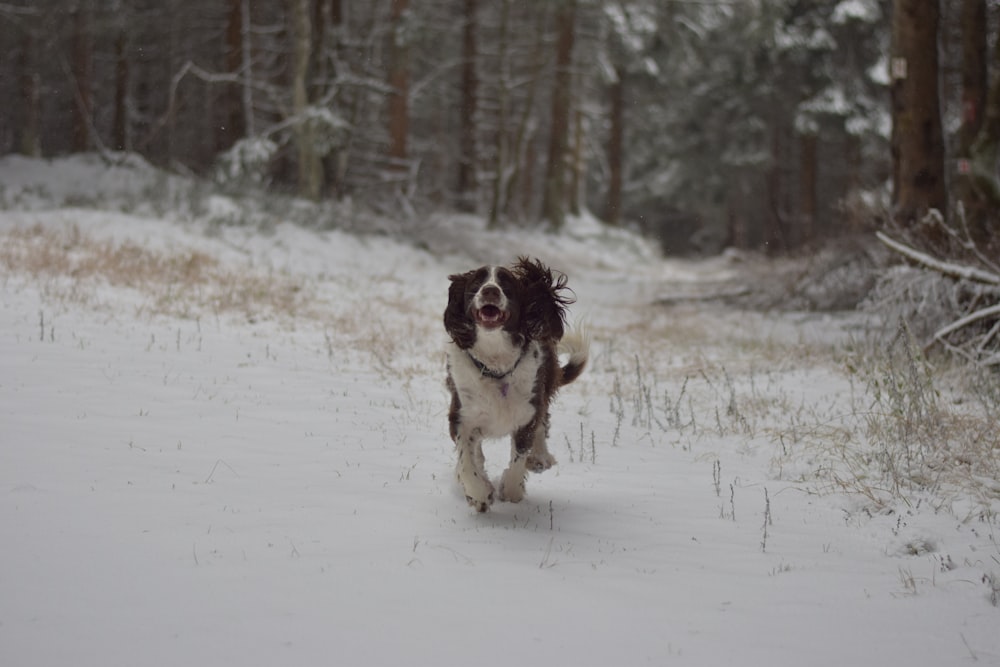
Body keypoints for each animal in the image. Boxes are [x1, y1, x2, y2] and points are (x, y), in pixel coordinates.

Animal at [444, 258, 584, 516]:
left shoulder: (527, 412)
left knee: (543, 423)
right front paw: (480, 495)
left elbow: (520, 455)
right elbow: (467, 460)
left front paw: (511, 490)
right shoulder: (461, 414)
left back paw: (540, 458)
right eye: (477, 282)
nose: (490, 290)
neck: (496, 363)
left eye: (506, 283)